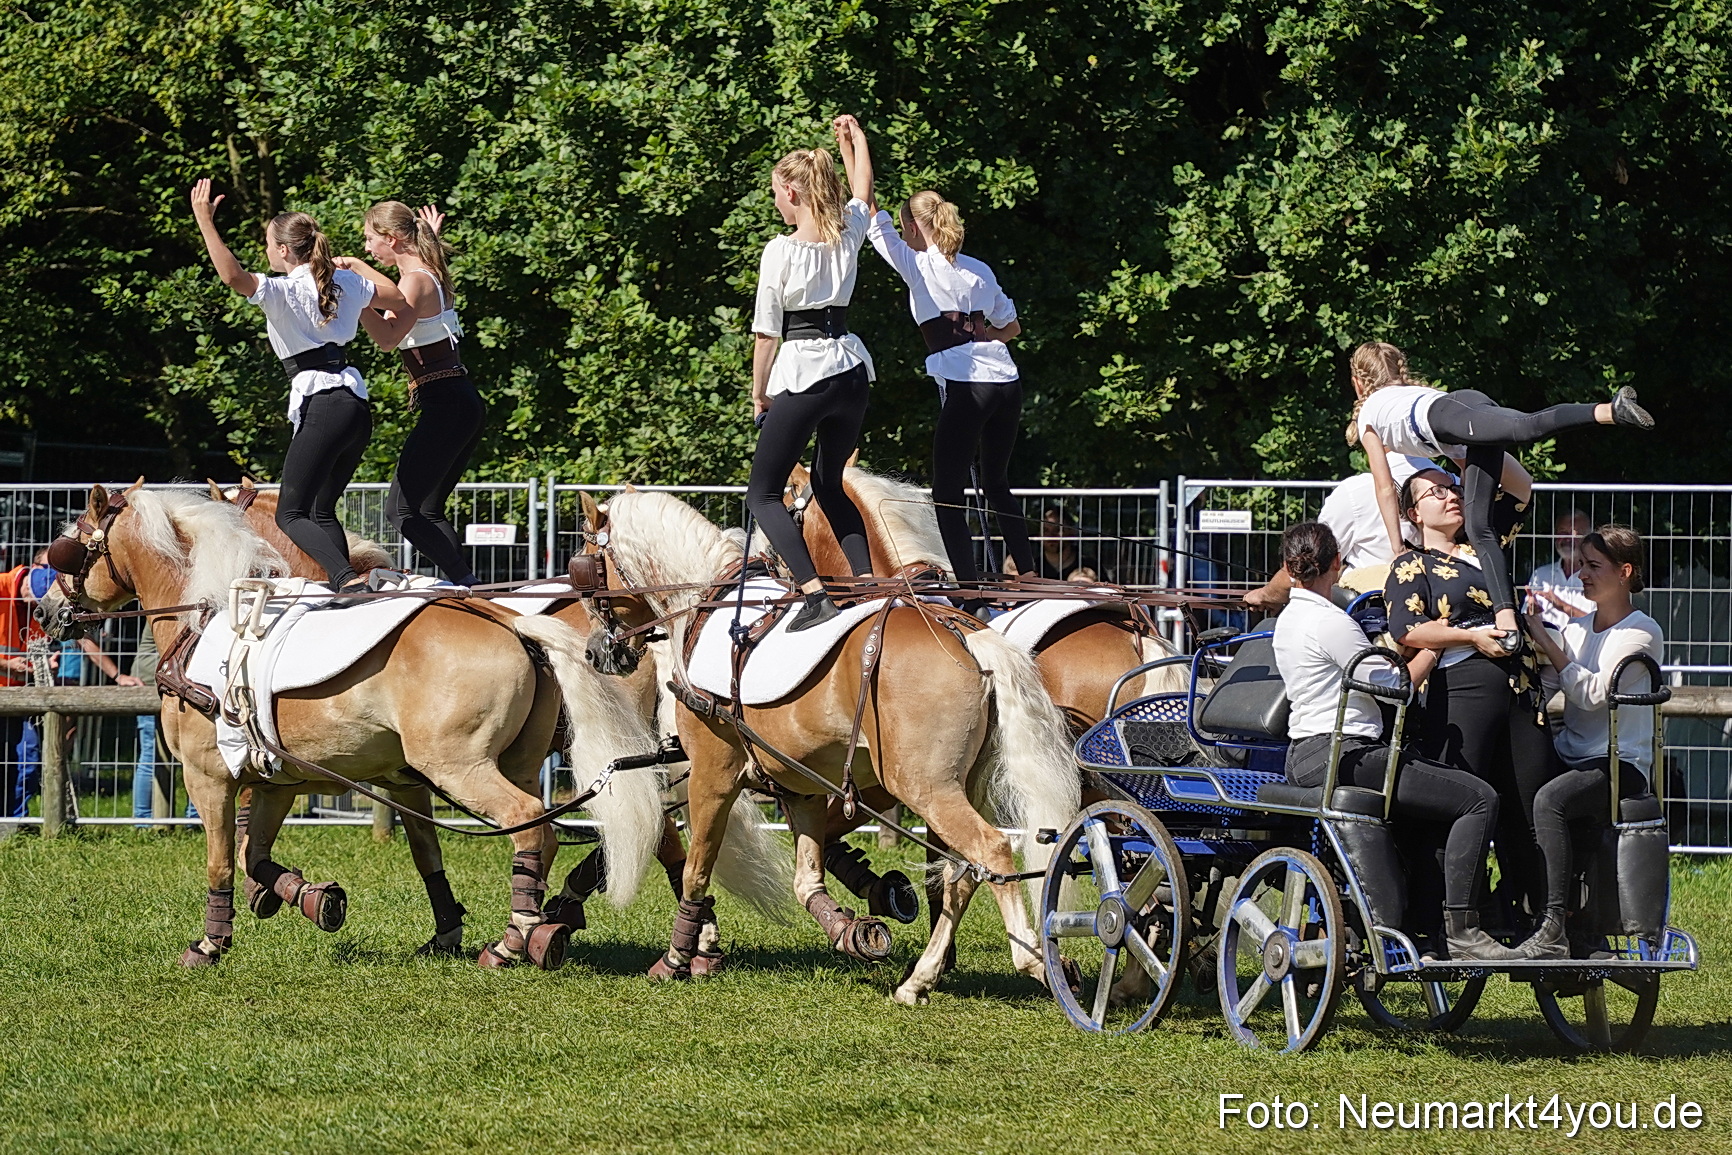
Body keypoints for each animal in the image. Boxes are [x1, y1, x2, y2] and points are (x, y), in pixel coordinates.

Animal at [38, 483, 662, 969]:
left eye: (68, 548)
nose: (43, 611)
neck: (213, 616)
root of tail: (515, 622)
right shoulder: (284, 782)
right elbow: (262, 856)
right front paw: (317, 900)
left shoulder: (210, 777)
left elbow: (220, 860)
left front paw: (211, 944)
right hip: (522, 763)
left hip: (460, 767)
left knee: (536, 828)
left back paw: (520, 937)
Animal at [587, 487, 1081, 1004]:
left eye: (589, 562)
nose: (594, 651)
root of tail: (966, 635)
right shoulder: (800, 785)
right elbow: (807, 879)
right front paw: (852, 931)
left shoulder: (712, 772)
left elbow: (696, 868)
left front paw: (680, 955)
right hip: (964, 788)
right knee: (961, 874)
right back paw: (920, 978)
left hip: (925, 788)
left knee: (991, 852)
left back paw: (1031, 960)